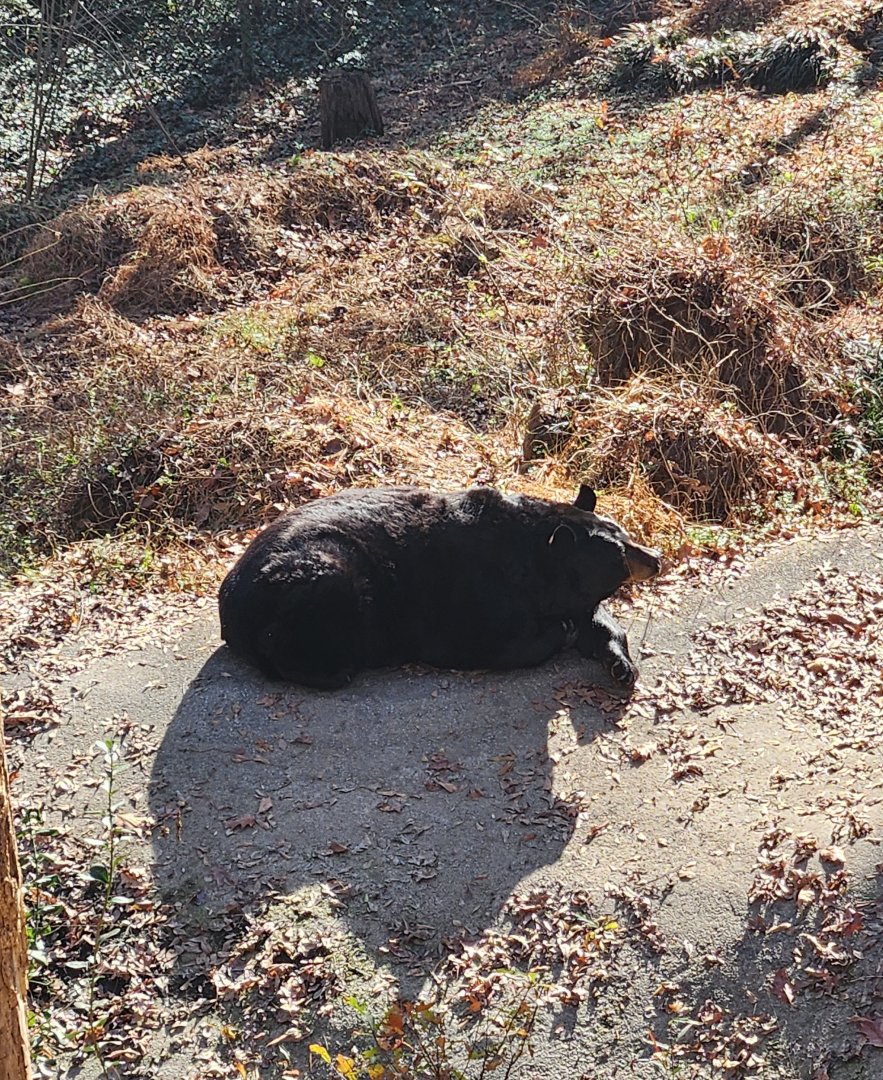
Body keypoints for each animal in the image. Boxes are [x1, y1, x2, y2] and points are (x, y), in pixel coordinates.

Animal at [218, 484, 661, 690]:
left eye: (625, 535)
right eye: (620, 554)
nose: (655, 557)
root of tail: (229, 606)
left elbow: (597, 619)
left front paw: (621, 665)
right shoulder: (476, 592)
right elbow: (502, 642)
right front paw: (560, 632)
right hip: (319, 575)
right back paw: (334, 671)